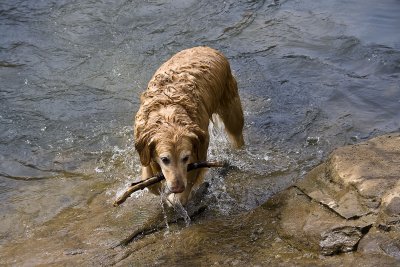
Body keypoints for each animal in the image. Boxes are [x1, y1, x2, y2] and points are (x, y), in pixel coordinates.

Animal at [134, 45, 244, 205]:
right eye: (165, 160)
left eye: (185, 158)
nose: (178, 187)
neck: (169, 113)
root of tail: (207, 47)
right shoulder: (143, 142)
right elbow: (147, 174)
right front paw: (155, 186)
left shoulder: (200, 150)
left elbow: (190, 178)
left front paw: (177, 198)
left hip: (232, 113)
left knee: (237, 136)